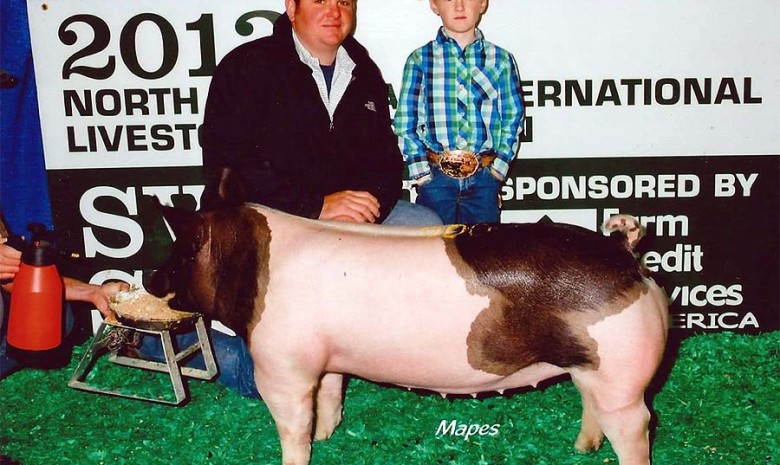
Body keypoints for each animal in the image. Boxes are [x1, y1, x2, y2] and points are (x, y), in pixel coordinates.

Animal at [148, 171, 672, 464]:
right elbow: (331, 393)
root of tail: (623, 250)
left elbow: (293, 425)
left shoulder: (281, 366)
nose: (151, 280)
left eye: (180, 251)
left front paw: (301, 449)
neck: (252, 266)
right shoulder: (327, 358)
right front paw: (328, 434)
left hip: (623, 375)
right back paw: (582, 448)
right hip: (592, 366)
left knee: (638, 427)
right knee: (592, 406)